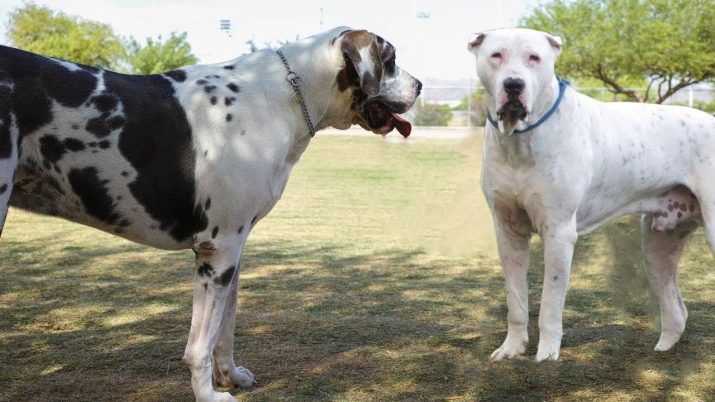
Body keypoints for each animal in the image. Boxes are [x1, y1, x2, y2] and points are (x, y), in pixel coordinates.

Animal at [470, 27, 715, 362]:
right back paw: (664, 347)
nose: (514, 84)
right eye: (496, 55)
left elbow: (550, 304)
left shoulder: (558, 233)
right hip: (658, 245)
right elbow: (516, 300)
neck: (521, 139)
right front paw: (512, 347)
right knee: (676, 308)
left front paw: (546, 354)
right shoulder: (508, 232)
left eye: (534, 57)